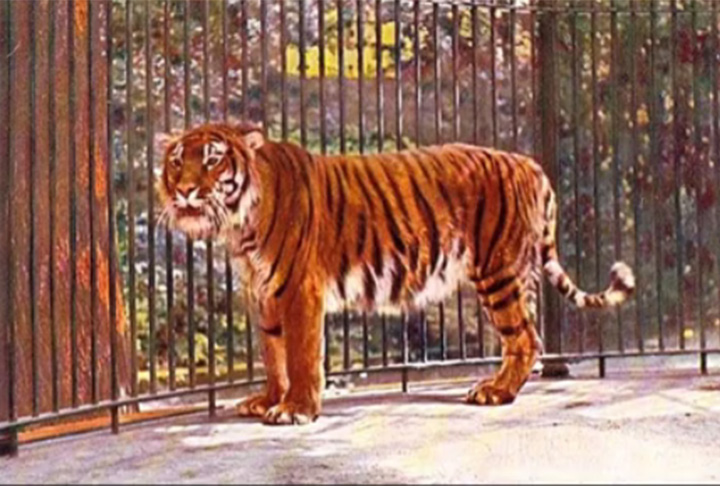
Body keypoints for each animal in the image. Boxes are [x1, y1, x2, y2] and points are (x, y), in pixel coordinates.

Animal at [157, 121, 635, 425]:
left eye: (212, 160)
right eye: (178, 161)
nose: (184, 190)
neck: (240, 225)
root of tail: (529, 163)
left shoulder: (298, 290)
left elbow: (300, 355)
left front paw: (296, 410)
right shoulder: (265, 294)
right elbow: (274, 355)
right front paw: (270, 400)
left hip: (499, 271)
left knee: (525, 338)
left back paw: (495, 392)